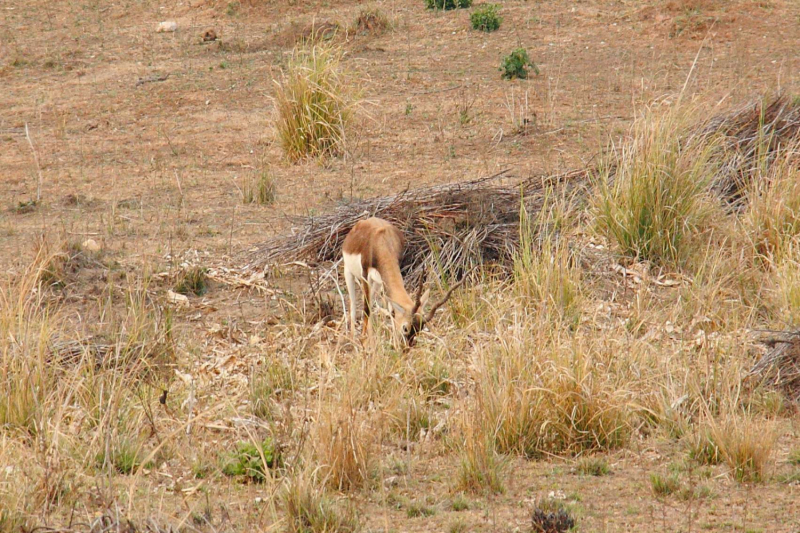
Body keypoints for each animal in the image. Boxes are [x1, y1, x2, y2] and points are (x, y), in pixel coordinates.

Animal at [340, 217, 466, 348]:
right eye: (405, 328)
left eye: (419, 329)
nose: (406, 347)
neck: (382, 242)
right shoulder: (365, 275)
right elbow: (366, 308)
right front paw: (363, 341)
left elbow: (391, 311)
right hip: (348, 273)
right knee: (354, 304)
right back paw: (353, 339)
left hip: (377, 283)